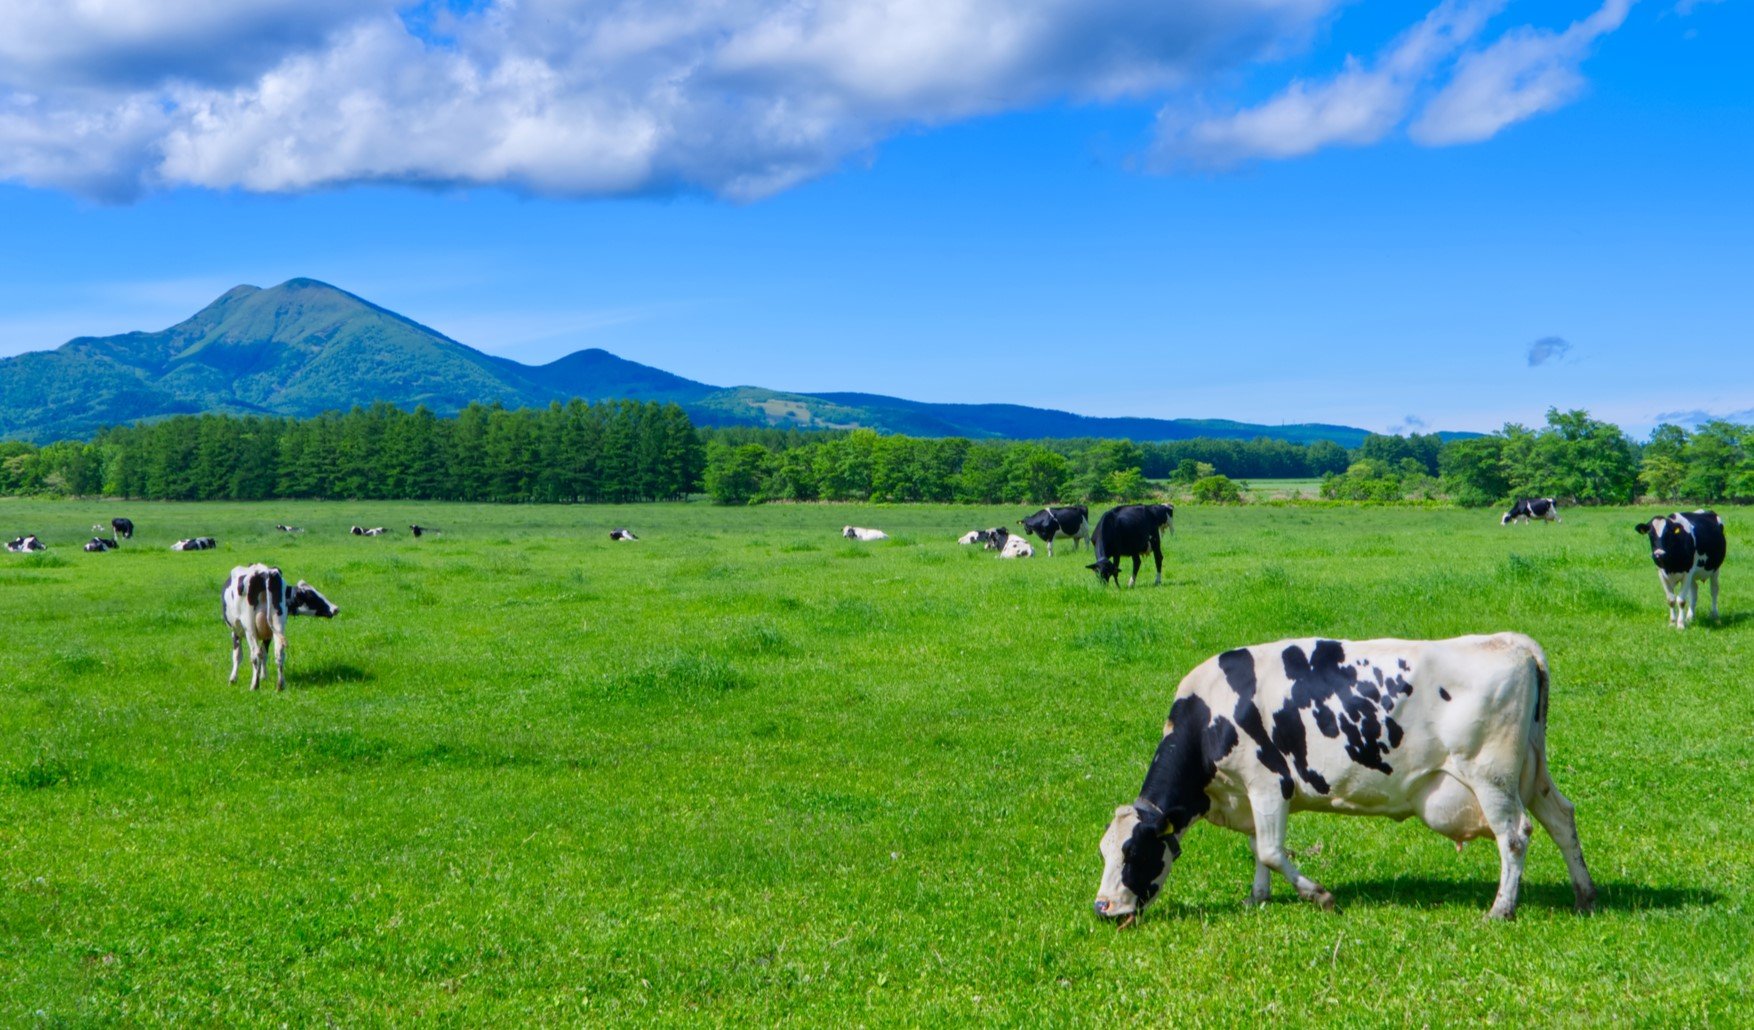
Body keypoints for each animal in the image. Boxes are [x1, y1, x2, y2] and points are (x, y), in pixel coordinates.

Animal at [222, 565, 338, 694]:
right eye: (311, 596)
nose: (335, 609)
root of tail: (266, 572)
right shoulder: (268, 635)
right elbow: (264, 654)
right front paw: (263, 676)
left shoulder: (236, 631)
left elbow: (238, 655)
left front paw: (233, 679)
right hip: (277, 624)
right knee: (279, 653)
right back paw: (280, 685)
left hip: (250, 628)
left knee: (255, 654)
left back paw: (254, 686)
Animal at [1094, 631, 1606, 919]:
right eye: (1104, 850)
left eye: (1133, 851)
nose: (1103, 907)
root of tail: (1514, 642)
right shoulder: (1248, 794)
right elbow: (1258, 851)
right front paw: (1256, 900)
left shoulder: (1268, 784)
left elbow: (1272, 851)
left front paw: (1320, 896)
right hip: (1531, 773)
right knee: (1562, 819)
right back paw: (1584, 896)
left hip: (1490, 775)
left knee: (1514, 835)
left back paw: (1501, 909)